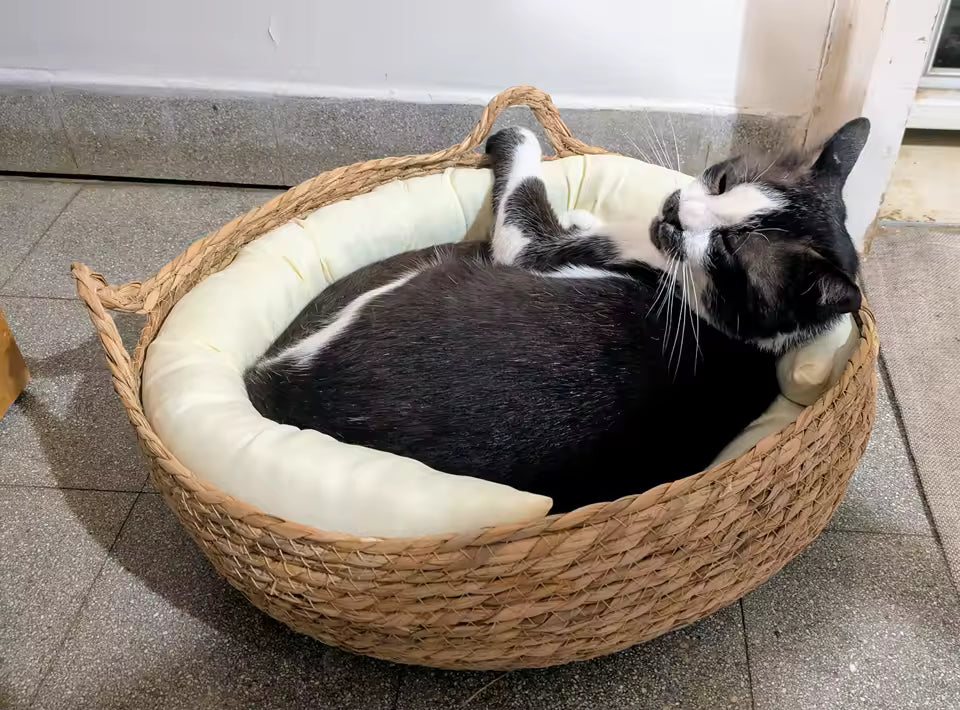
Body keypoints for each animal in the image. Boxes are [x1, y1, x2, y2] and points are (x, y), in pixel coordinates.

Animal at [245, 118, 868, 513]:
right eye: (722, 180)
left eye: (729, 250)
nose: (677, 207)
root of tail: (282, 394)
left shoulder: (534, 250)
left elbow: (527, 178)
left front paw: (515, 136)